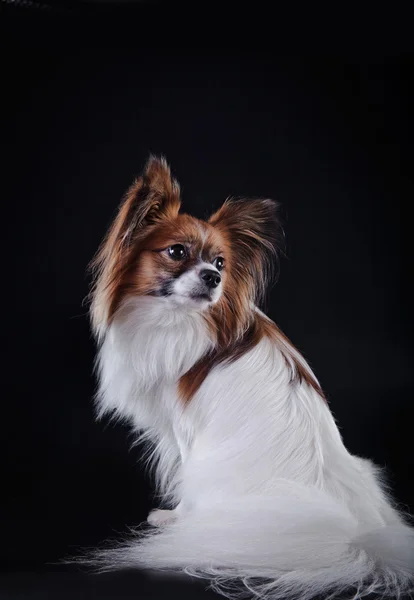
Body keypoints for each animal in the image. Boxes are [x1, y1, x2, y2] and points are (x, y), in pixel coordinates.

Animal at [88, 156, 414, 600]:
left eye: (221, 264)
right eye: (177, 252)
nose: (212, 277)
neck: (177, 317)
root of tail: (353, 534)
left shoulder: (187, 434)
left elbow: (185, 482)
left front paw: (176, 519)